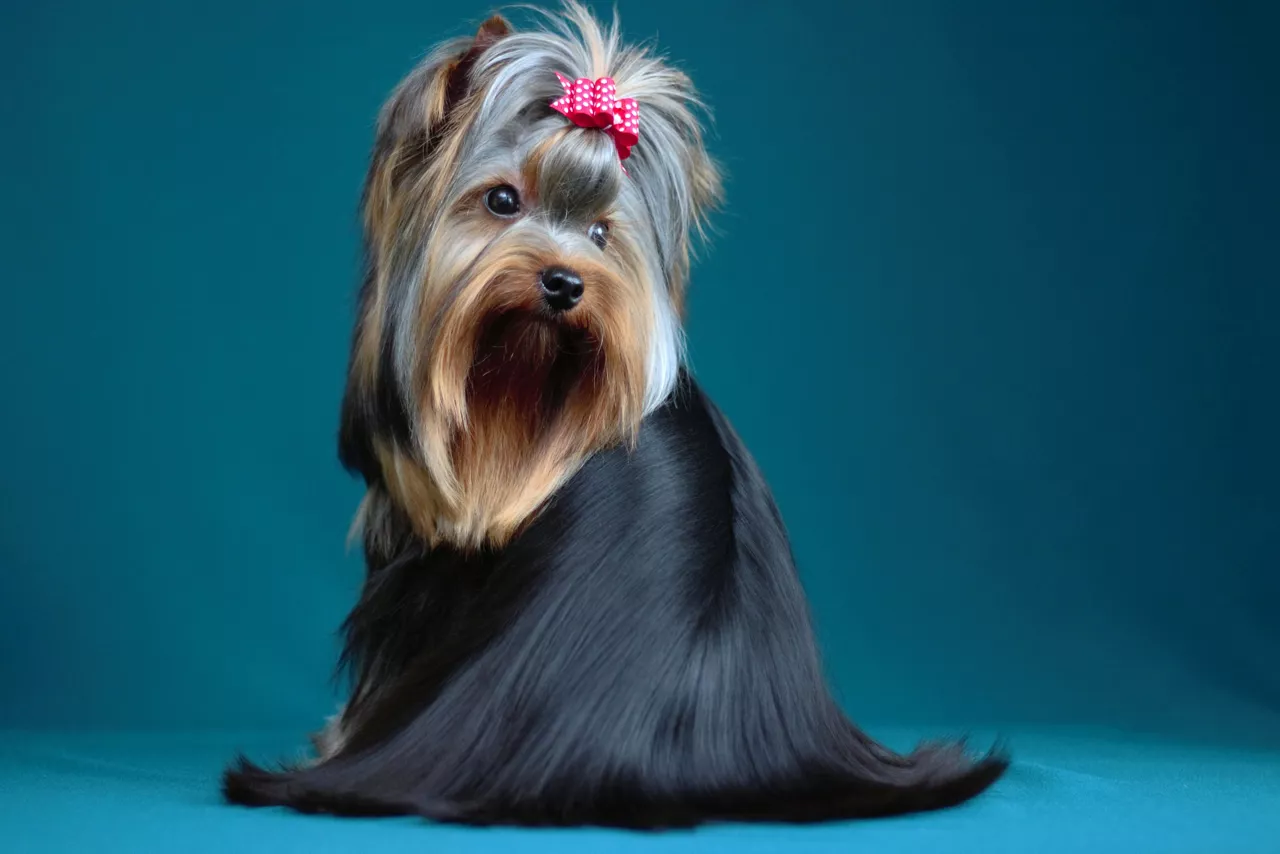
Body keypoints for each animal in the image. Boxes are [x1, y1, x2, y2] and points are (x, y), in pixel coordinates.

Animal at [227, 0, 1008, 829]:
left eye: (602, 234)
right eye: (501, 200)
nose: (566, 282)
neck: (527, 390)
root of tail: (662, 758)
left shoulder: (427, 565)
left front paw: (335, 736)